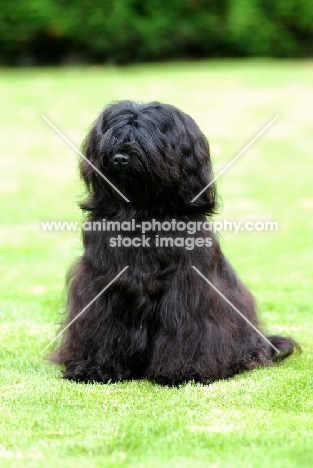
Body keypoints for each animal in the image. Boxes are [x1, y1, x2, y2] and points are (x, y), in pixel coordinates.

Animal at [51, 99, 298, 384]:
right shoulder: (102, 283)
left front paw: (185, 371)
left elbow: (188, 326)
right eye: (113, 137)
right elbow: (101, 326)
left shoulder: (188, 285)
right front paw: (94, 368)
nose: (119, 158)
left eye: (146, 137)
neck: (142, 212)